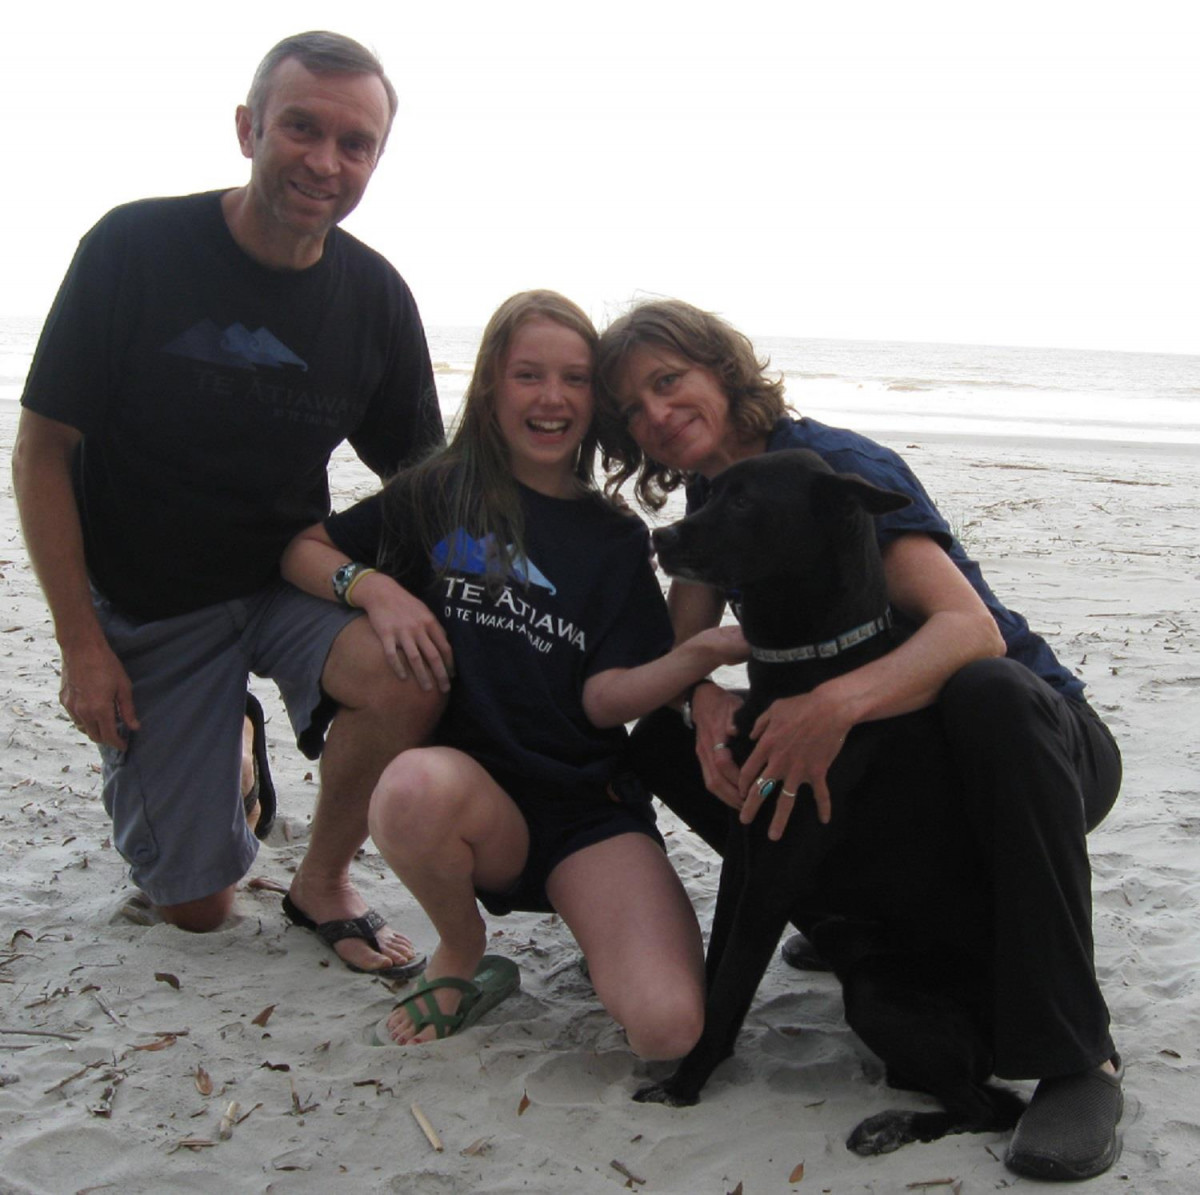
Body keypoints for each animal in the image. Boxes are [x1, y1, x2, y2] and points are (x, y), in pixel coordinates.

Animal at [638, 451, 1022, 1156]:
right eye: (715, 491)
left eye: (744, 502)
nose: (659, 537)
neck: (813, 664)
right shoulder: (745, 852)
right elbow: (716, 964)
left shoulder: (775, 873)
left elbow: (732, 981)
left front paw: (684, 1083)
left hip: (876, 989)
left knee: (988, 1107)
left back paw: (895, 1126)